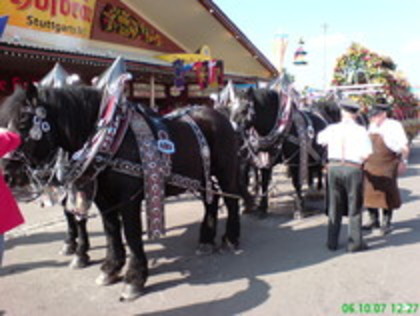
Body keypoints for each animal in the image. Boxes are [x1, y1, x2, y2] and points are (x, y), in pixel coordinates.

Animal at [0, 84, 241, 302]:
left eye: (23, 121)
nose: (7, 175)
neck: (109, 140)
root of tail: (220, 116)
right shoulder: (103, 200)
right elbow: (111, 231)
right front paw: (110, 268)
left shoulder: (128, 199)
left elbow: (131, 234)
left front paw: (134, 279)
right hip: (202, 177)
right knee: (211, 200)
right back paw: (206, 240)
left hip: (226, 172)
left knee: (231, 201)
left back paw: (231, 238)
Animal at [225, 87, 326, 218]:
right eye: (230, 109)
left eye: (244, 110)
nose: (230, 131)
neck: (283, 129)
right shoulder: (264, 160)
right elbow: (264, 182)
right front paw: (262, 207)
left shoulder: (295, 161)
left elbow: (296, 183)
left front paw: (299, 208)